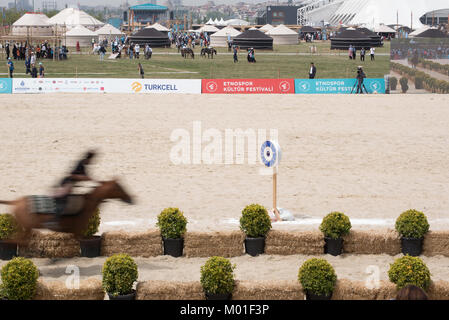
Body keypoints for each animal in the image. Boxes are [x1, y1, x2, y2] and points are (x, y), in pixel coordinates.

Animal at [0, 181, 133, 241]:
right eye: (119, 188)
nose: (130, 198)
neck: (87, 203)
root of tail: (17, 201)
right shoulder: (79, 233)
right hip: (26, 227)